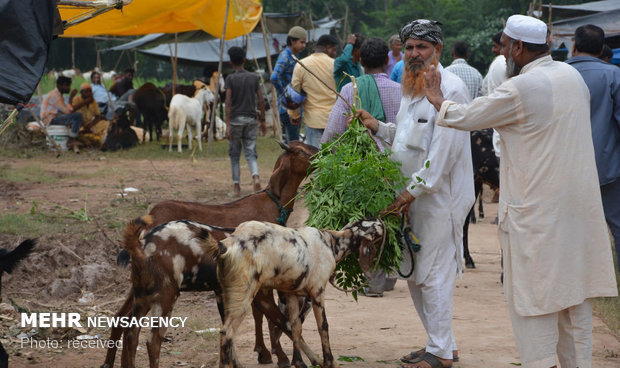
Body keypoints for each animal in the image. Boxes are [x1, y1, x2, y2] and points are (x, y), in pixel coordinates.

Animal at [102, 141, 320, 368]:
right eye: (300, 151)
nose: (322, 151)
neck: (273, 203)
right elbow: (264, 315)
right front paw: (276, 355)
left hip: (143, 287)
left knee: (122, 319)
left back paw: (109, 363)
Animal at [212, 218, 388, 368]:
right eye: (378, 232)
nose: (383, 220)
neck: (331, 243)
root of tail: (227, 244)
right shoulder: (318, 290)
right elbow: (323, 326)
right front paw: (330, 362)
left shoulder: (292, 294)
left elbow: (295, 327)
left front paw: (299, 363)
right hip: (243, 294)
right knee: (227, 332)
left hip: (228, 296)